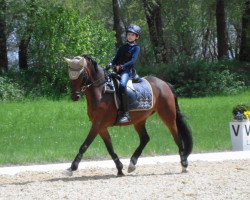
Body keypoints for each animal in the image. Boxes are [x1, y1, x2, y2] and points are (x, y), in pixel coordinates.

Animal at [64, 55, 193, 177]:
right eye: (70, 74)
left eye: (82, 75)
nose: (74, 97)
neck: (101, 91)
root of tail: (164, 83)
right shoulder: (101, 127)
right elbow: (110, 148)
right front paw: (120, 168)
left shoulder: (97, 124)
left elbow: (85, 145)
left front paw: (72, 168)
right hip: (139, 120)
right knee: (145, 138)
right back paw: (132, 164)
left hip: (168, 116)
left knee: (177, 137)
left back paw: (184, 164)